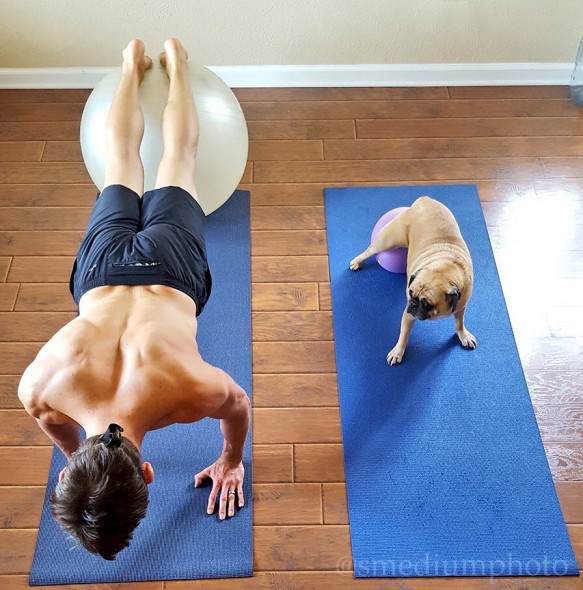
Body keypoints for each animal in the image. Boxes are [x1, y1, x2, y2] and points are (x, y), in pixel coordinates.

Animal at [350, 197, 476, 368]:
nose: (413, 303)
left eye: (426, 304)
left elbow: (459, 324)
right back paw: (357, 261)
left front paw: (463, 335)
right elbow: (403, 335)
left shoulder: (461, 307)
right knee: (370, 249)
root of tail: (424, 199)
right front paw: (398, 352)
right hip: (387, 241)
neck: (446, 268)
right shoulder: (408, 315)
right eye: (410, 293)